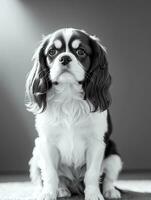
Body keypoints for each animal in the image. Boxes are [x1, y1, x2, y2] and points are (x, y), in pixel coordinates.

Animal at [25, 28, 122, 200]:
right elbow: (50, 173)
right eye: (52, 52)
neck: (68, 95)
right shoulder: (46, 142)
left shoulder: (97, 143)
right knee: (46, 178)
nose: (64, 58)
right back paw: (58, 189)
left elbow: (92, 174)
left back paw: (110, 191)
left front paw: (93, 194)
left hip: (114, 155)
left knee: (108, 179)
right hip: (36, 153)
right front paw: (48, 193)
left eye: (80, 51)